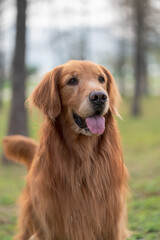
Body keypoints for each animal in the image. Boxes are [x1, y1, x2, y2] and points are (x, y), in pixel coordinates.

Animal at [2, 60, 129, 240]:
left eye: (101, 79)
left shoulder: (110, 223)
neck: (84, 159)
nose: (99, 97)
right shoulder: (51, 227)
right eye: (72, 81)